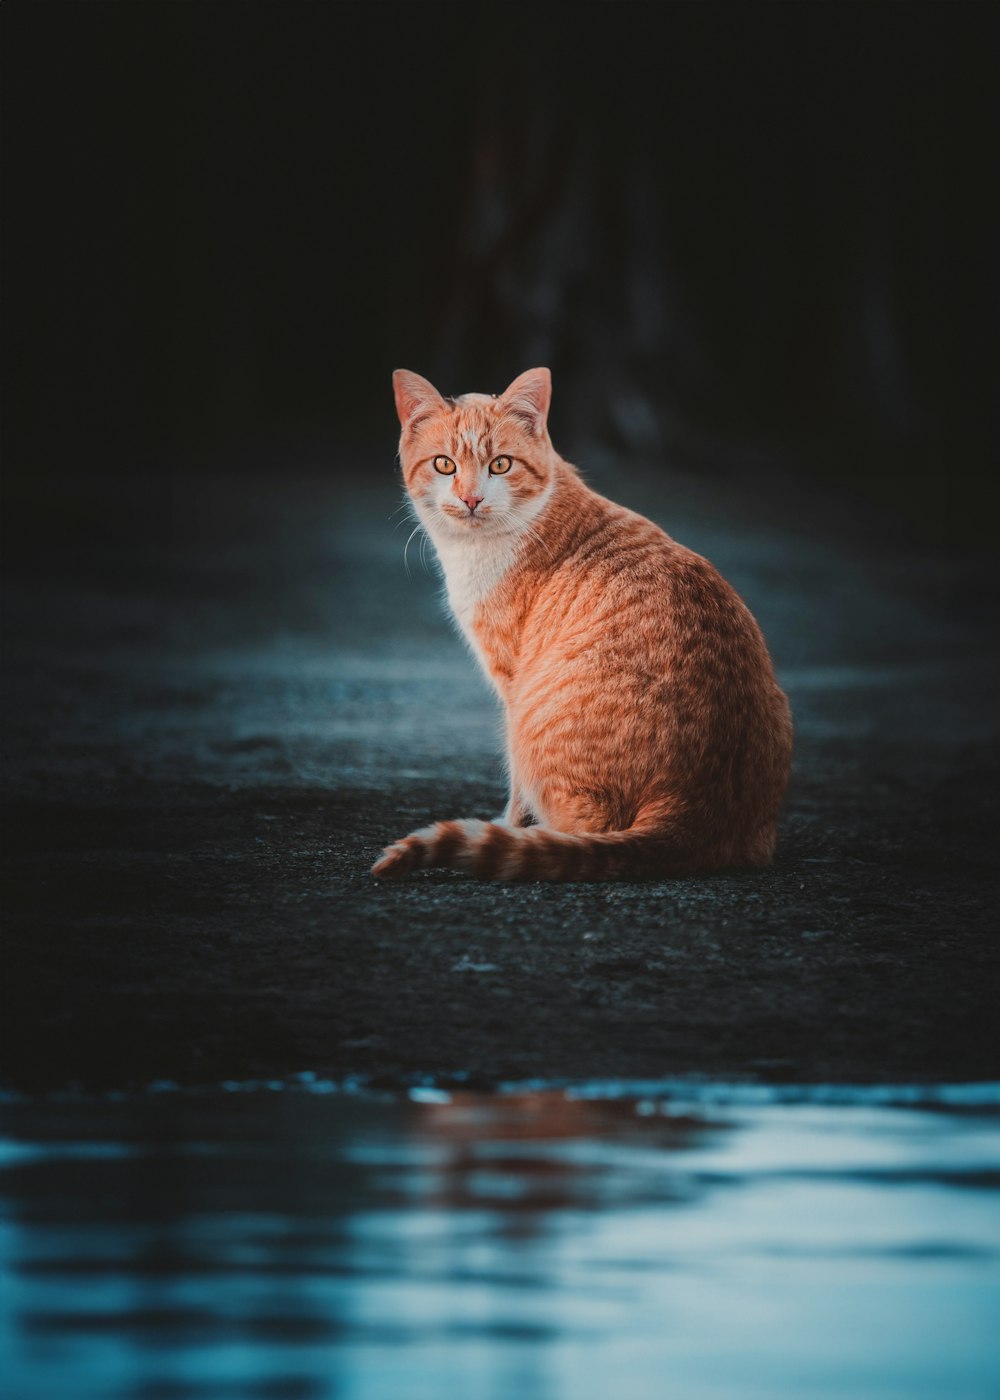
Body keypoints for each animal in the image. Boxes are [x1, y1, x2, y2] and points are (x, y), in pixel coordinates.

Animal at [369, 369, 789, 873]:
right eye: (445, 465)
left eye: (501, 465)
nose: (470, 499)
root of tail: (689, 813)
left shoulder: (512, 684)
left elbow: (516, 785)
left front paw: (510, 825)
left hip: (533, 717)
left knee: (587, 825)